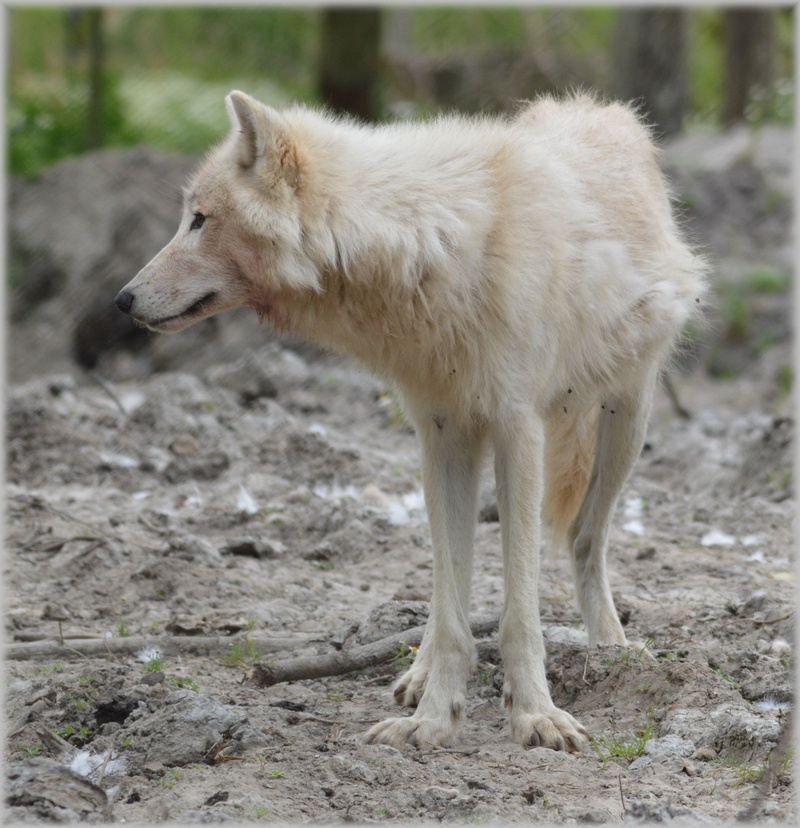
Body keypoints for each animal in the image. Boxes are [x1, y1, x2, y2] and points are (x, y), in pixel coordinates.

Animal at [116, 90, 706, 752]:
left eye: (199, 219)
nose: (122, 299)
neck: (434, 244)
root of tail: (604, 108)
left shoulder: (517, 427)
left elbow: (519, 611)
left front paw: (536, 716)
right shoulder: (442, 431)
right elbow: (451, 606)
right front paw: (432, 719)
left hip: (628, 419)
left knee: (584, 537)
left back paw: (612, 648)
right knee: (454, 585)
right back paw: (420, 674)